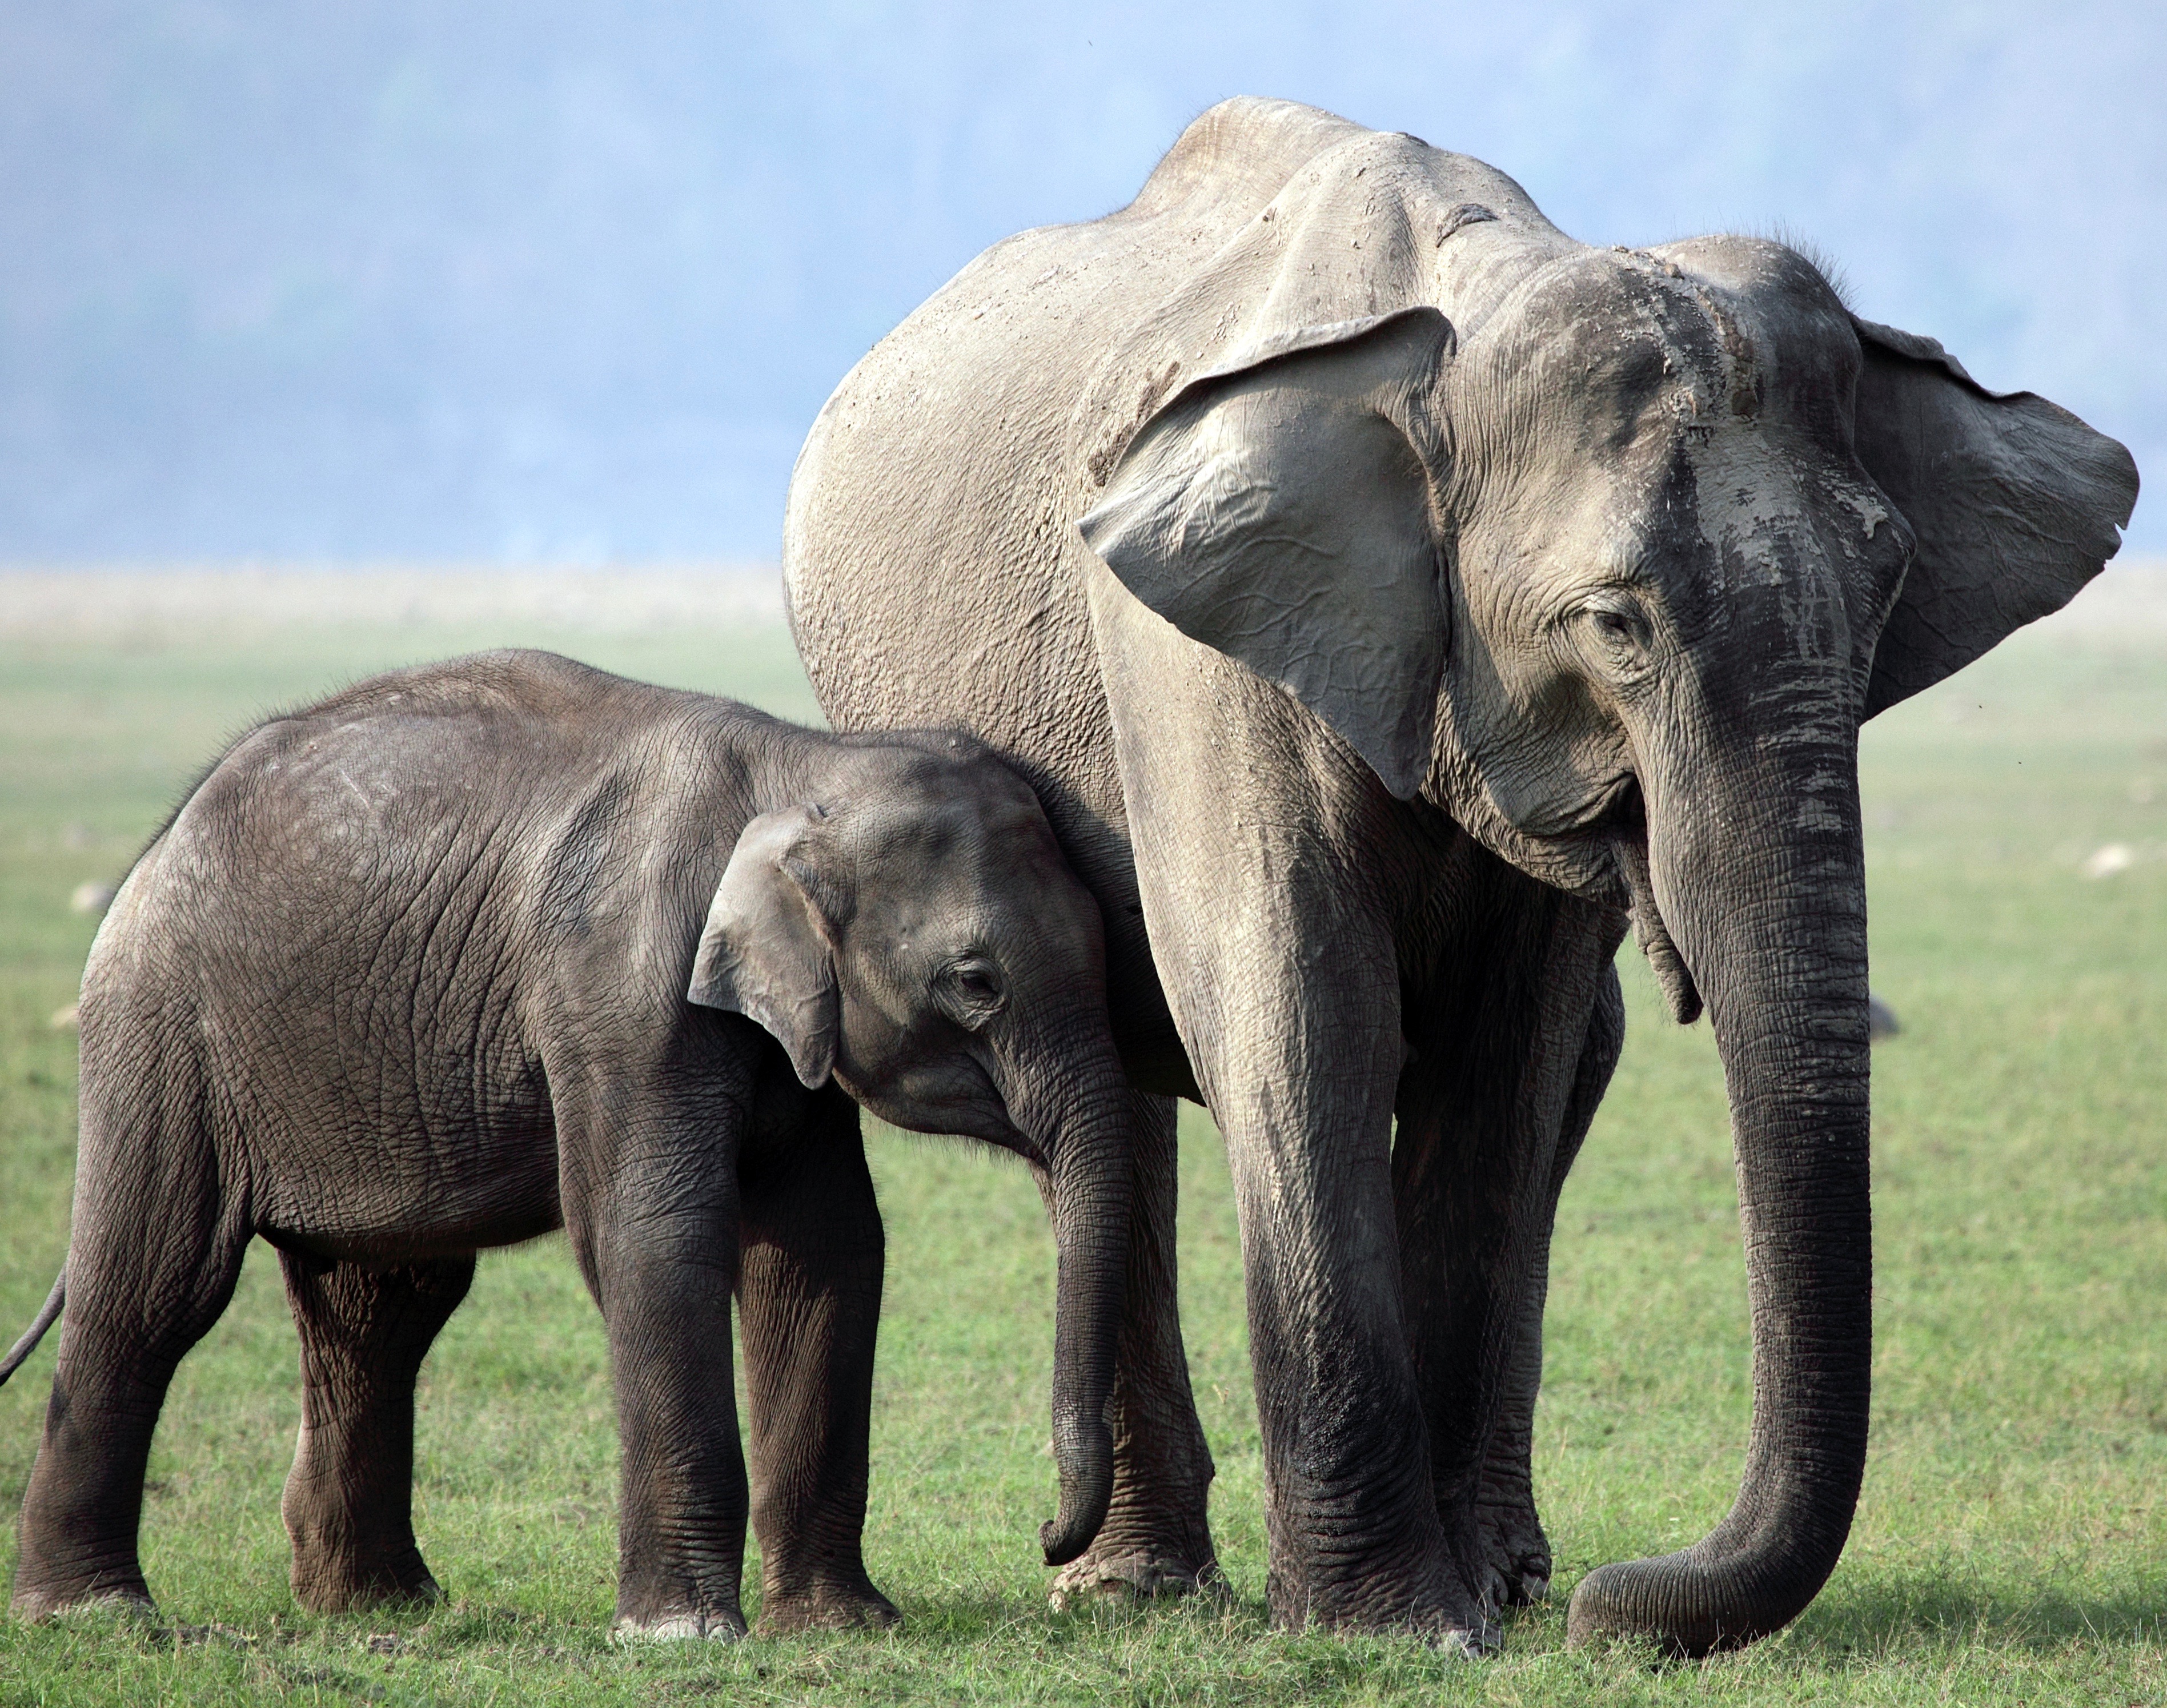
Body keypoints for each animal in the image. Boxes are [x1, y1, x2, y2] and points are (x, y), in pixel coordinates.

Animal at [1, 648, 1134, 1639]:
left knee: (379, 1304)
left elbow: (827, 1246)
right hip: (165, 1029)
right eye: (974, 982)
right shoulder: (619, 995)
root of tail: (159, 841)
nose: (1043, 1533)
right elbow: (656, 1239)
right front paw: (683, 1632)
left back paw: (376, 1604)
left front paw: (842, 1624)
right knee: (156, 1287)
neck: (801, 764)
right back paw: (98, 1613)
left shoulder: (786, 1031)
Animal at [781, 97, 2139, 1654]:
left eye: (1888, 588)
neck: (1466, 308)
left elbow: (1506, 1048)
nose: (1617, 1609)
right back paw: (1137, 1585)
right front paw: (1391, 1626)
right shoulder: (1194, 637)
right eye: (1616, 625)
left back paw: (1488, 1559)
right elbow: (1301, 1002)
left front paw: (1475, 1603)